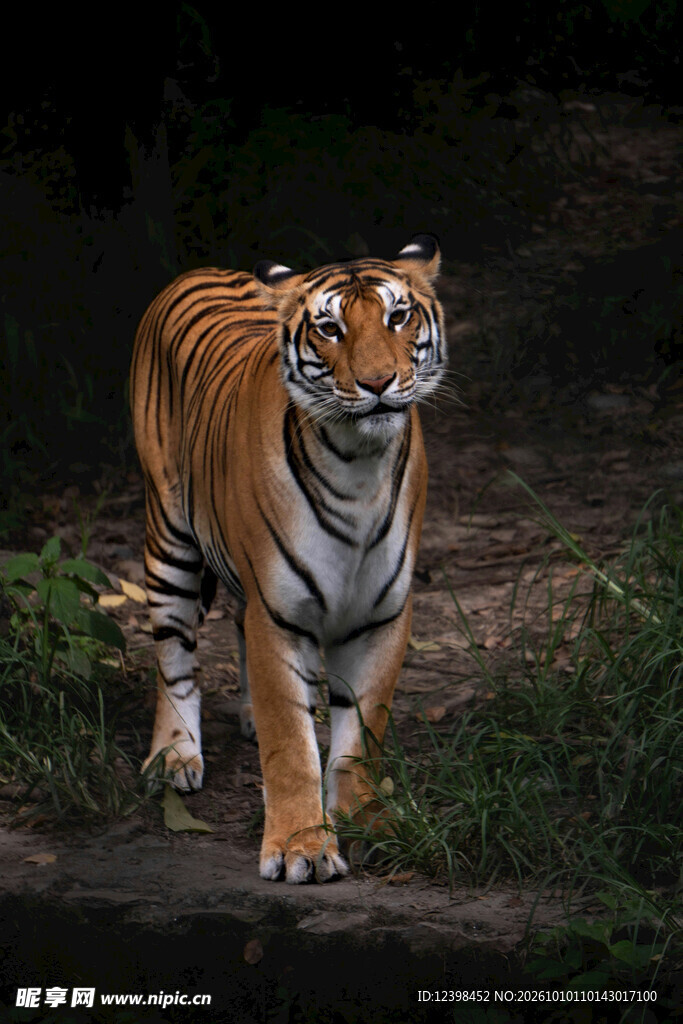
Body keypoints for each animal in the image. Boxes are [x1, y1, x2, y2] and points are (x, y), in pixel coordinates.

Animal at [130, 234, 447, 883]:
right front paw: (302, 848)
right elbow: (291, 744)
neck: (359, 465)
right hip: (168, 538)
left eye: (397, 318)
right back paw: (174, 755)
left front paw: (368, 822)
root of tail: (197, 269)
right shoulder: (278, 614)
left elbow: (361, 735)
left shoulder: (383, 615)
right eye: (329, 328)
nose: (379, 382)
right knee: (174, 658)